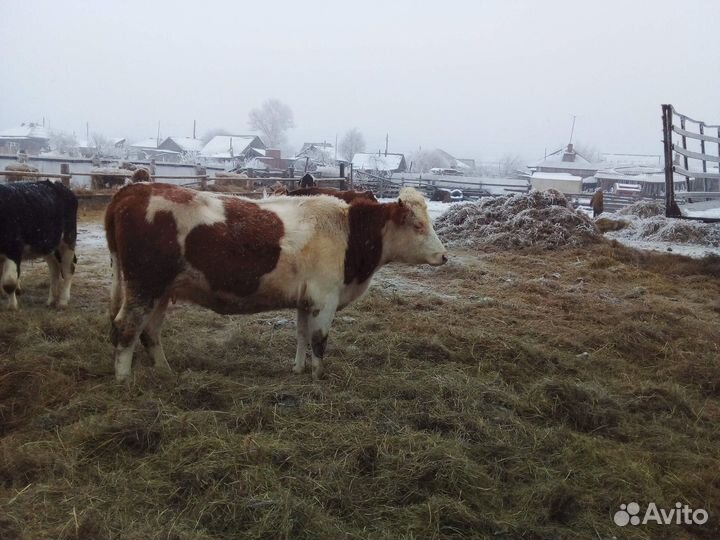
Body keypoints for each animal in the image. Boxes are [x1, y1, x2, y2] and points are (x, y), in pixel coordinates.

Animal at [0, 181, 78, 310]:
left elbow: (9, 282)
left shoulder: (14, 248)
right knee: (54, 270)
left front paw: (12, 306)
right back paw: (51, 300)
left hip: (68, 240)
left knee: (68, 269)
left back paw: (62, 301)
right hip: (48, 246)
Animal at [105, 183, 447, 381]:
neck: (348, 233)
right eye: (418, 225)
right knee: (126, 326)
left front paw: (298, 370)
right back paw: (124, 379)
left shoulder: (306, 301)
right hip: (143, 286)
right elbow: (319, 340)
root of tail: (135, 189)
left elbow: (302, 335)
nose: (444, 256)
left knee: (149, 331)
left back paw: (165, 370)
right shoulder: (325, 299)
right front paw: (318, 378)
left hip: (160, 291)